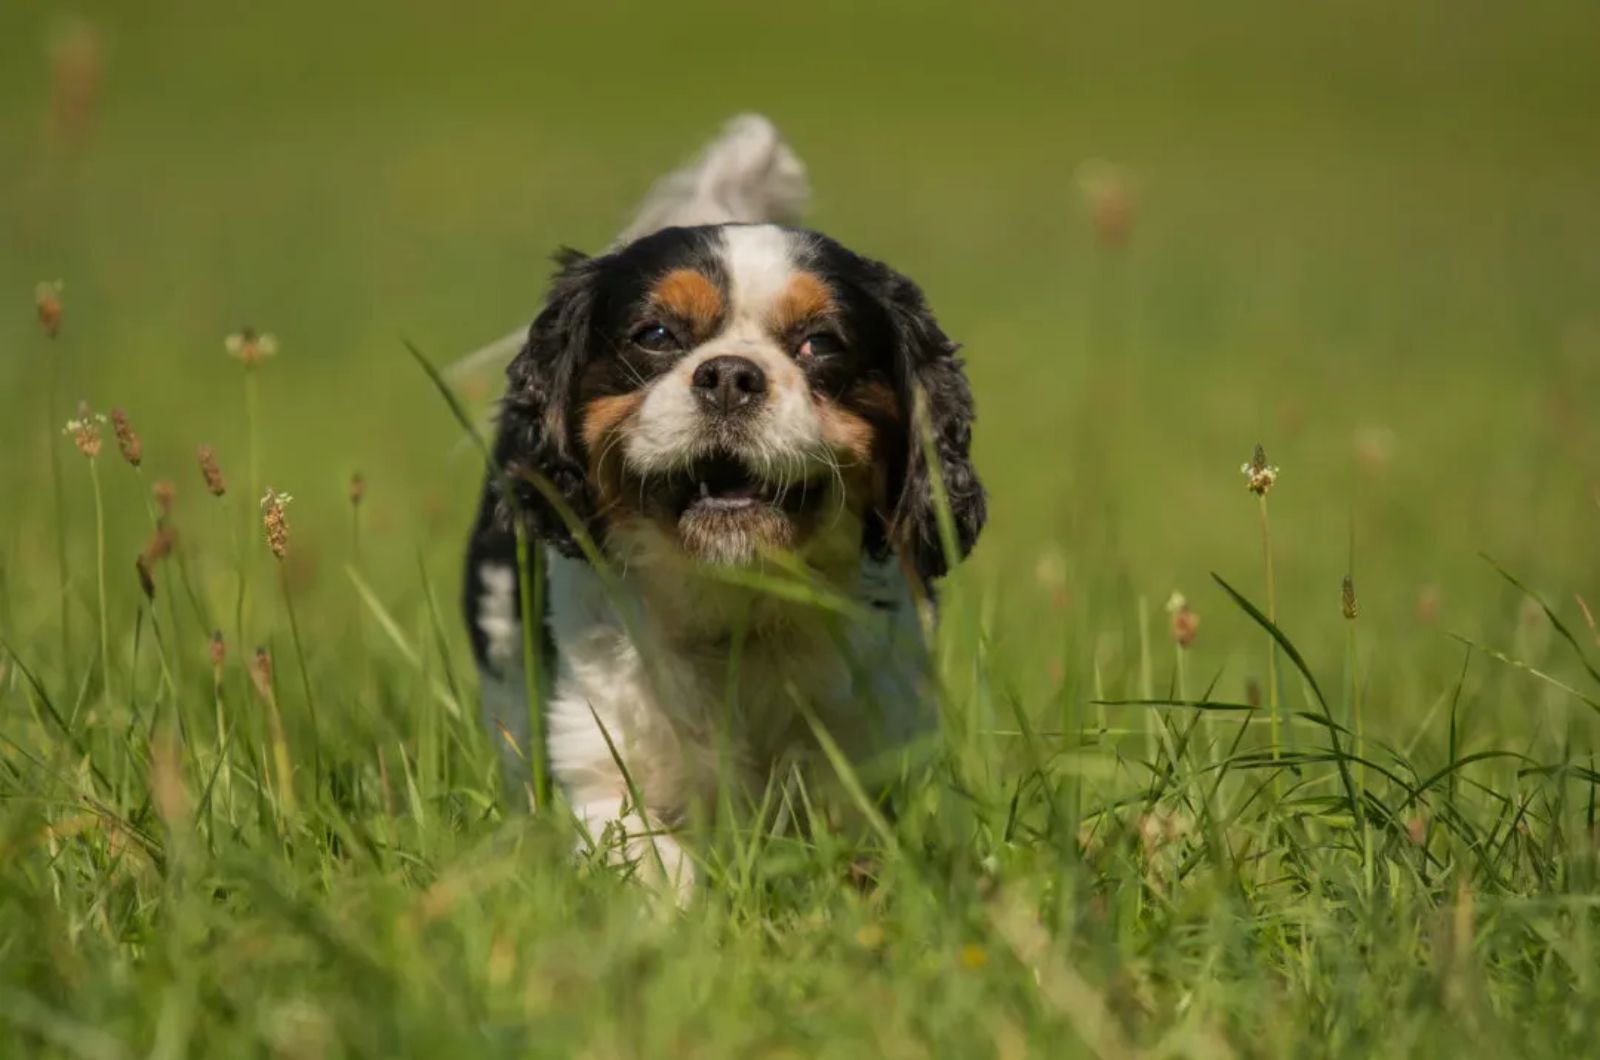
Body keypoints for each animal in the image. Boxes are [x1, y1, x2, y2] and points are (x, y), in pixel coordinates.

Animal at [464, 116, 985, 890]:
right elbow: (650, 859)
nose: (731, 375)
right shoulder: (598, 761)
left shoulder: (871, 750)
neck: (734, 603)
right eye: (656, 335)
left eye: (819, 342)